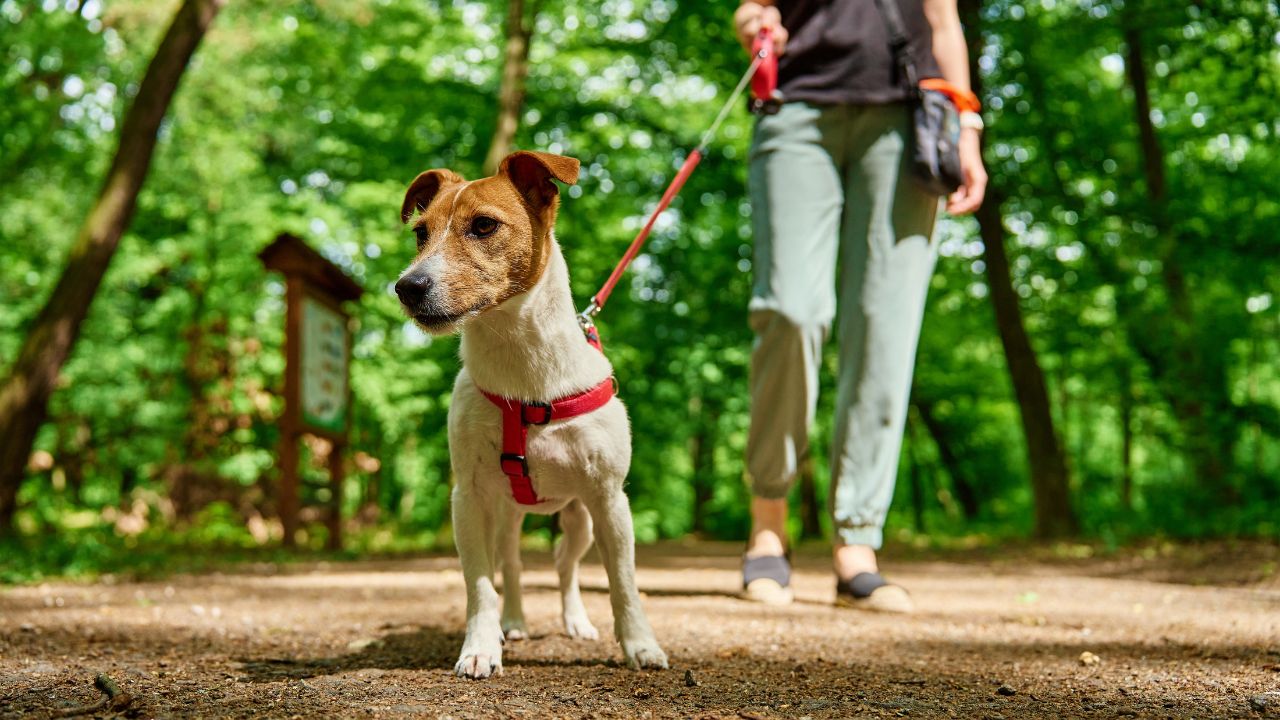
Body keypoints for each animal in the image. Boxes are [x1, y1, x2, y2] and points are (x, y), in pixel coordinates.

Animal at [394, 148, 665, 676]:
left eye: (483, 225)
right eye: (420, 233)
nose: (407, 286)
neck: (523, 373)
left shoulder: (610, 500)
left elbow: (624, 583)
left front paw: (640, 645)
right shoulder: (468, 499)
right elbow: (480, 585)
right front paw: (481, 647)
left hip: (581, 518)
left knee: (565, 564)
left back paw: (575, 621)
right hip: (506, 514)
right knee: (513, 565)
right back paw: (514, 622)